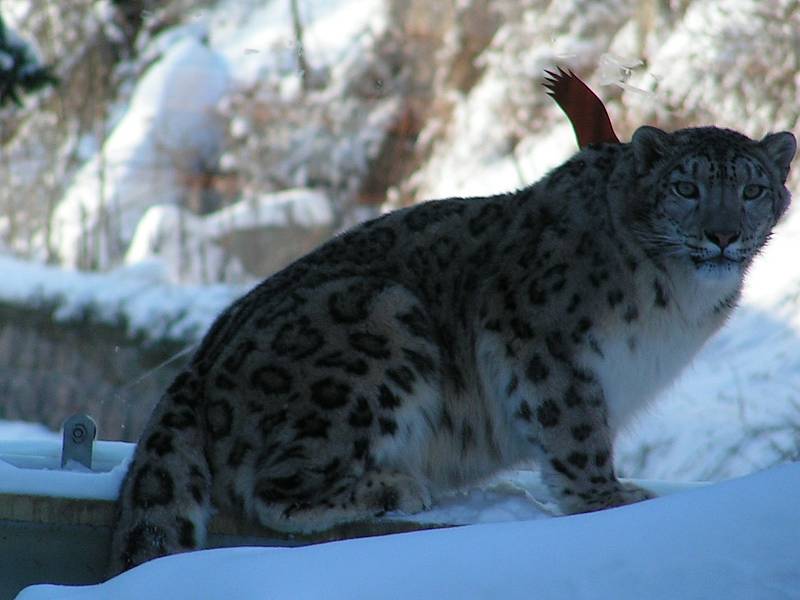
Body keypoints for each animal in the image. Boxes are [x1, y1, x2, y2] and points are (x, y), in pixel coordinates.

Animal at [111, 125, 792, 572]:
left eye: (752, 191)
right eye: (685, 187)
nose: (723, 234)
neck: (678, 302)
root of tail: (200, 357)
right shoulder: (543, 340)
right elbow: (575, 430)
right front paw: (607, 499)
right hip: (380, 325)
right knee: (272, 486)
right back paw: (394, 487)